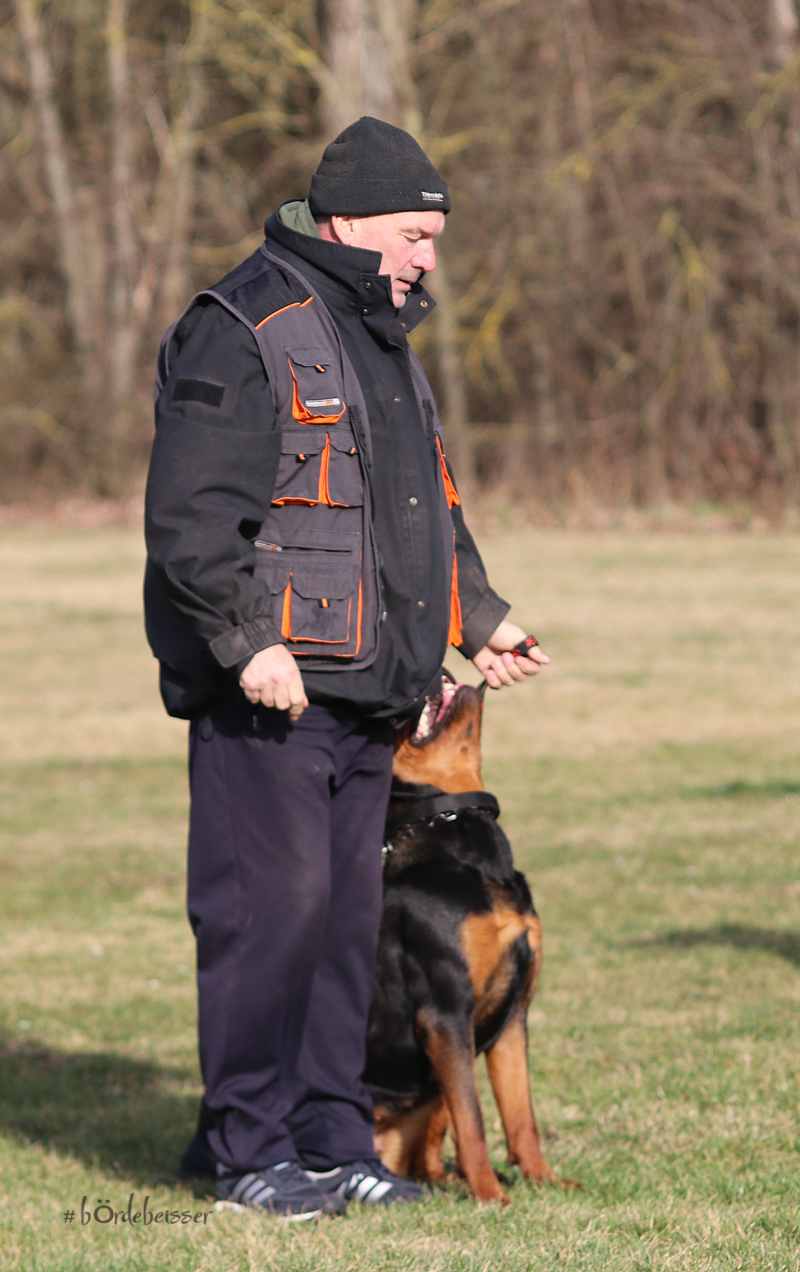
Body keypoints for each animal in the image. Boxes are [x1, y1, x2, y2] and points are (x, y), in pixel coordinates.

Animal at [179, 671, 571, 1203]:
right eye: (395, 720)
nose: (440, 671)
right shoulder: (445, 1012)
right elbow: (474, 1121)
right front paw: (492, 1196)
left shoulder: (514, 1015)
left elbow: (519, 1114)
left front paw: (544, 1180)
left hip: (432, 1089)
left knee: (425, 1156)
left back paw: (440, 1180)